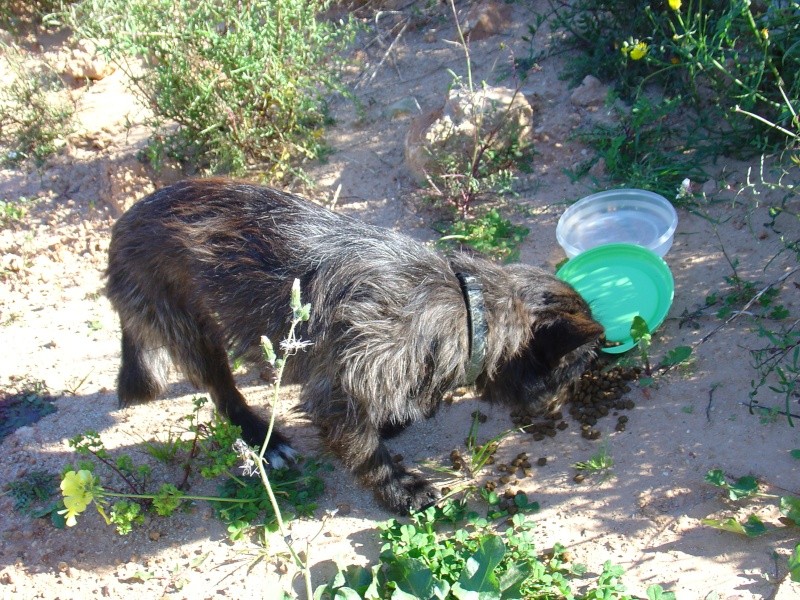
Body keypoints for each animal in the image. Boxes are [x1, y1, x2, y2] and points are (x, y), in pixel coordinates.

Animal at [108, 177, 608, 510]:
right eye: (577, 367)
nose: (560, 407)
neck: (469, 307)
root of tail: (125, 219)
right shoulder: (343, 387)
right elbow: (365, 448)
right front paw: (400, 487)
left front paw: (398, 418)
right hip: (189, 328)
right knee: (222, 392)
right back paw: (264, 440)